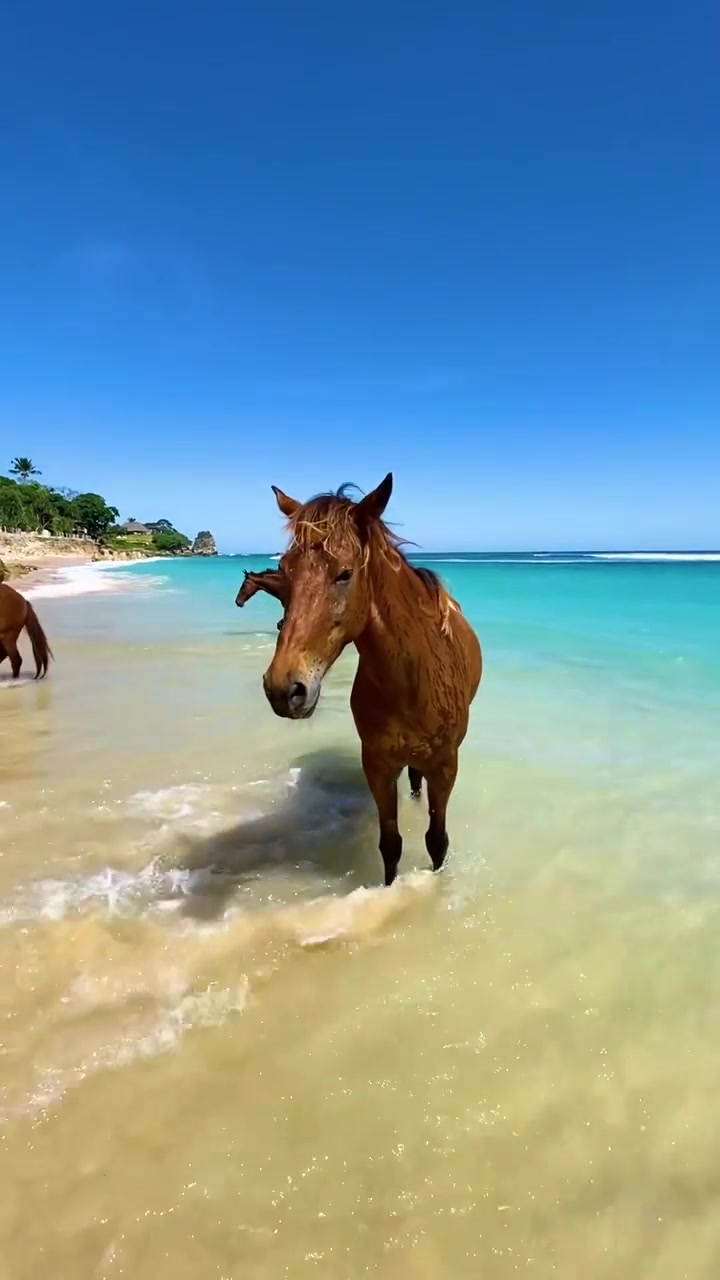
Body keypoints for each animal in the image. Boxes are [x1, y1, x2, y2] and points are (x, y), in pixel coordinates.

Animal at [245, 473, 482, 885]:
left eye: (344, 573)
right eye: (285, 571)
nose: (283, 690)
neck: (411, 682)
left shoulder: (445, 766)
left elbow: (437, 841)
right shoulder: (377, 765)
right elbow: (391, 845)